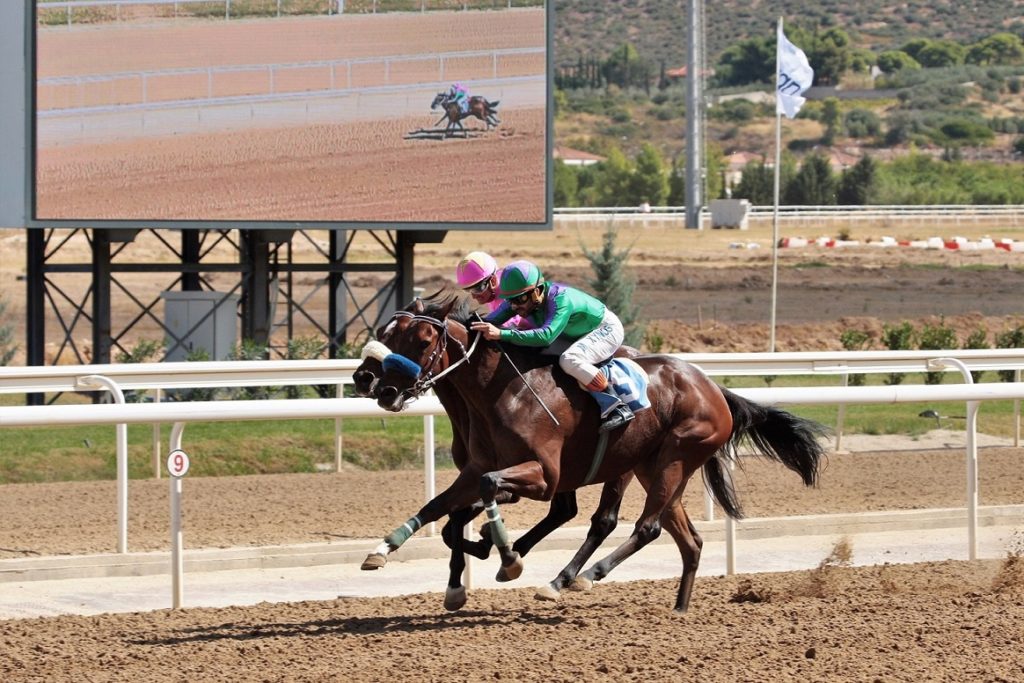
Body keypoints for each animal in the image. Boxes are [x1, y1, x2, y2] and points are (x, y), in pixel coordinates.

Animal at [360, 290, 823, 610]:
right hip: (653, 467)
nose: (376, 385)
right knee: (687, 540)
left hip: (672, 457)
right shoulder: (474, 470)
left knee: (637, 526)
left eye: (422, 340)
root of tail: (713, 388)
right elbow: (441, 510)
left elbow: (488, 495)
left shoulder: (544, 476)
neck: (500, 393)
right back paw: (678, 609)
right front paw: (385, 552)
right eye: (385, 334)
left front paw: (509, 557)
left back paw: (574, 578)